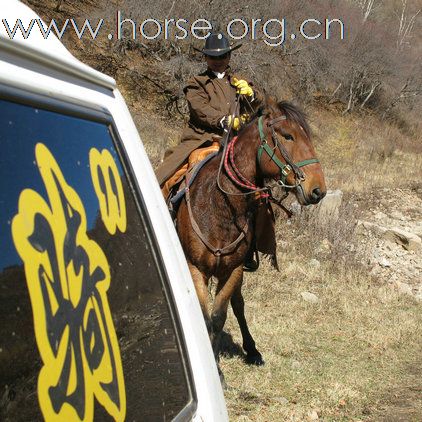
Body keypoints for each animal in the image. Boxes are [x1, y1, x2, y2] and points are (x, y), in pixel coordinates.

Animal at [175, 96, 326, 380]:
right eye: (287, 135)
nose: (318, 190)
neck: (220, 206)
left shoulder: (233, 270)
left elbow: (219, 316)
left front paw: (217, 368)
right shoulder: (194, 268)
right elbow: (203, 316)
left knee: (239, 304)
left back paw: (252, 349)